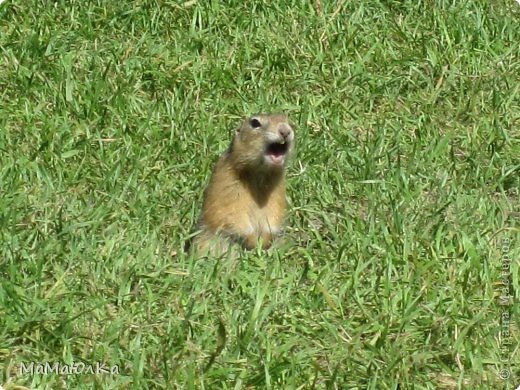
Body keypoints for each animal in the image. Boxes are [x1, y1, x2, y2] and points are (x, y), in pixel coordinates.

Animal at [192, 113, 296, 256]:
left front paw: (263, 241)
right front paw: (253, 241)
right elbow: (231, 211)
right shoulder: (227, 183)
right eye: (255, 123)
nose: (285, 130)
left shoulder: (278, 189)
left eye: (288, 121)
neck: (259, 173)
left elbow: (274, 211)